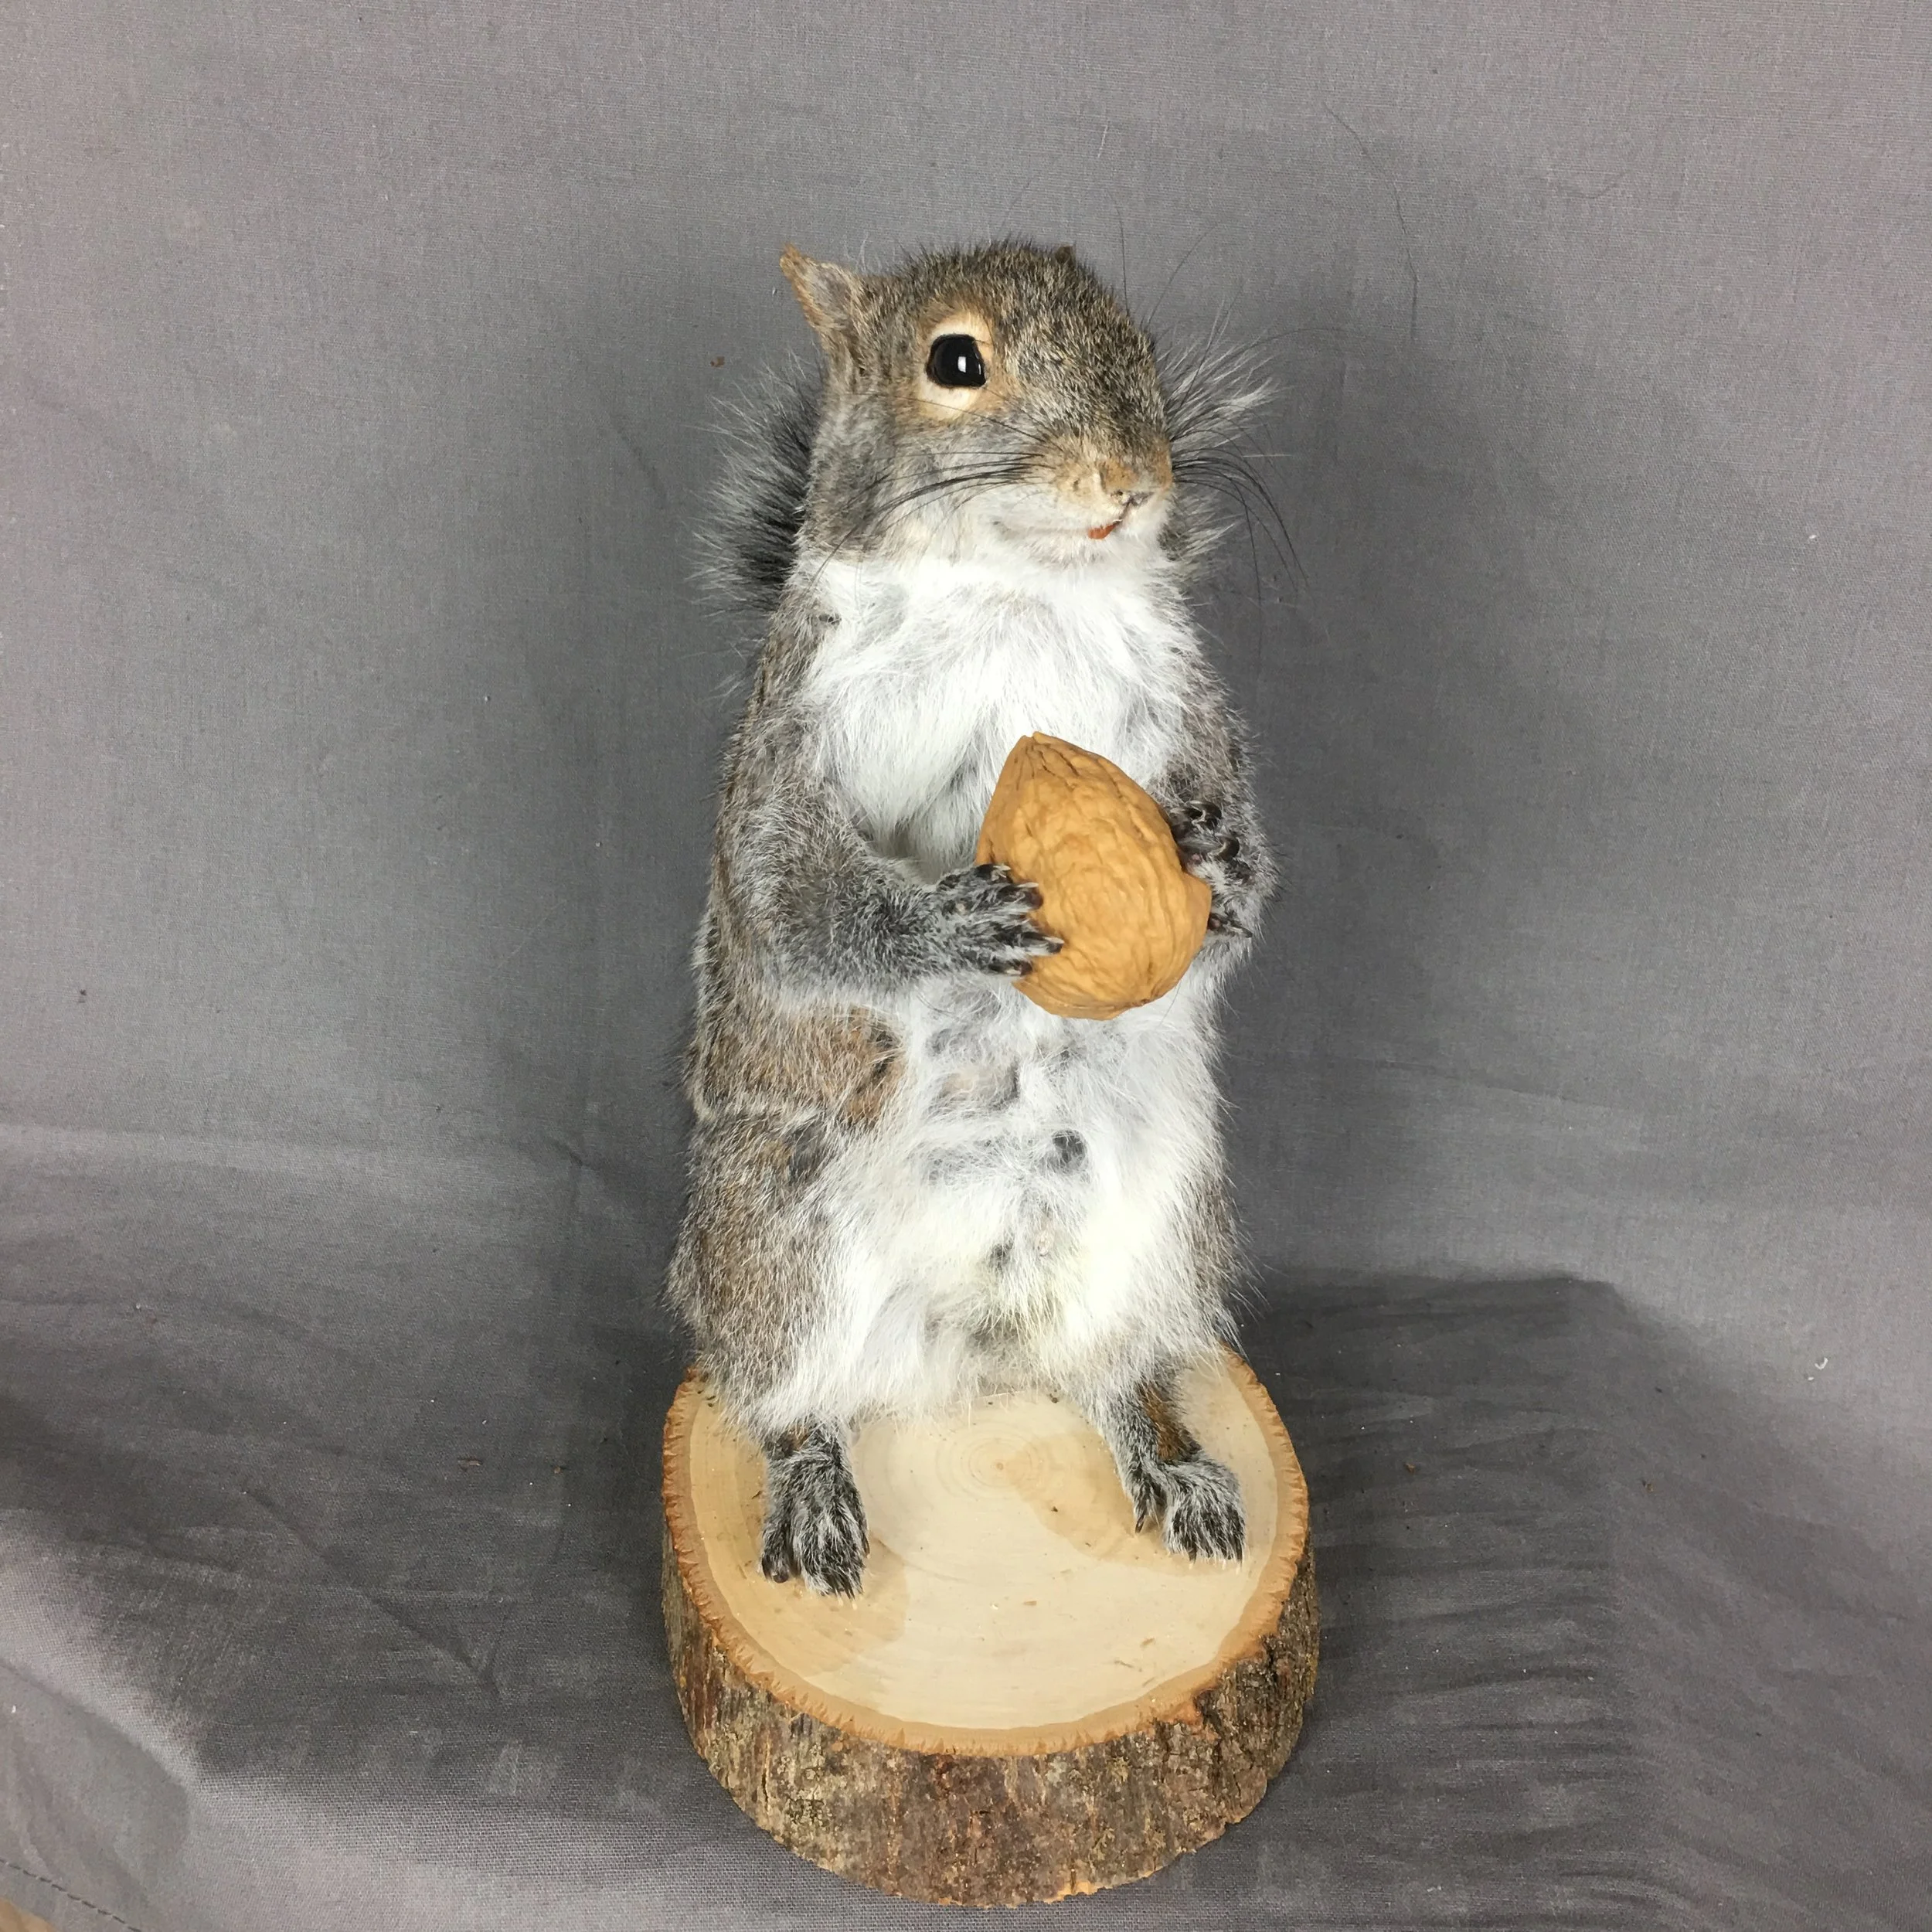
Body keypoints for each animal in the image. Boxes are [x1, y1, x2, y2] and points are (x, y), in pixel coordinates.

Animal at [667, 240, 1275, 1596]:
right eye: (954, 362)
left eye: (1133, 337)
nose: (1133, 479)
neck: (1016, 587)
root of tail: (970, 1348)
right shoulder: (792, 737)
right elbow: (790, 894)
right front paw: (945, 930)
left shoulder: (1190, 706)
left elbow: (1252, 885)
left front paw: (1217, 867)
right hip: (779, 1237)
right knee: (779, 1393)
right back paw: (812, 1481)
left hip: (1164, 1231)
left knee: (1102, 1370)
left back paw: (1159, 1450)